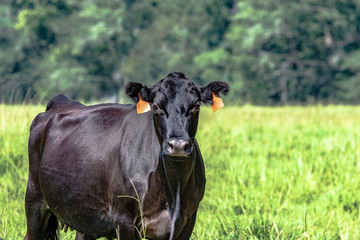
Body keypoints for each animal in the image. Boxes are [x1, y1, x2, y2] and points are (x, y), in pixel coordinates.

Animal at [23, 72, 229, 239]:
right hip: (34, 200)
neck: (172, 189)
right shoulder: (125, 221)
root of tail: (60, 101)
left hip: (84, 217)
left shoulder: (186, 222)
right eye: (156, 107)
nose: (177, 145)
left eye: (196, 106)